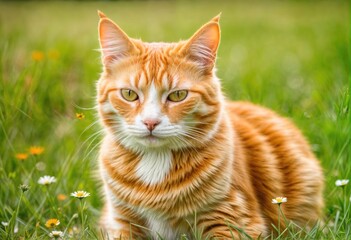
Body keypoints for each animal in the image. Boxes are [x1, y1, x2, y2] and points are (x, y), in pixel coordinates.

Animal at [96, 11, 324, 240]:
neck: (156, 161)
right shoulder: (121, 222)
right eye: (129, 94)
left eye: (178, 95)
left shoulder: (234, 220)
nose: (150, 122)